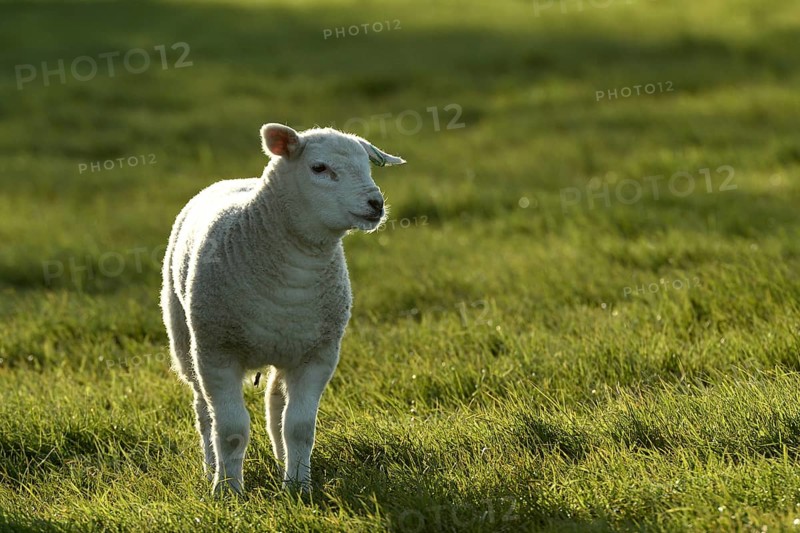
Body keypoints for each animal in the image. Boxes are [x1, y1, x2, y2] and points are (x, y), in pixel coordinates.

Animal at [160, 123, 405, 494]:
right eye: (319, 168)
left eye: (368, 166)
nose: (375, 204)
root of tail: (234, 180)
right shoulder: (217, 352)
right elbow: (231, 430)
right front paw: (228, 491)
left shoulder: (318, 355)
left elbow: (299, 427)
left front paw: (299, 486)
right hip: (185, 342)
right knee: (204, 411)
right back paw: (210, 468)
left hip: (288, 346)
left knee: (275, 403)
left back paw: (281, 462)